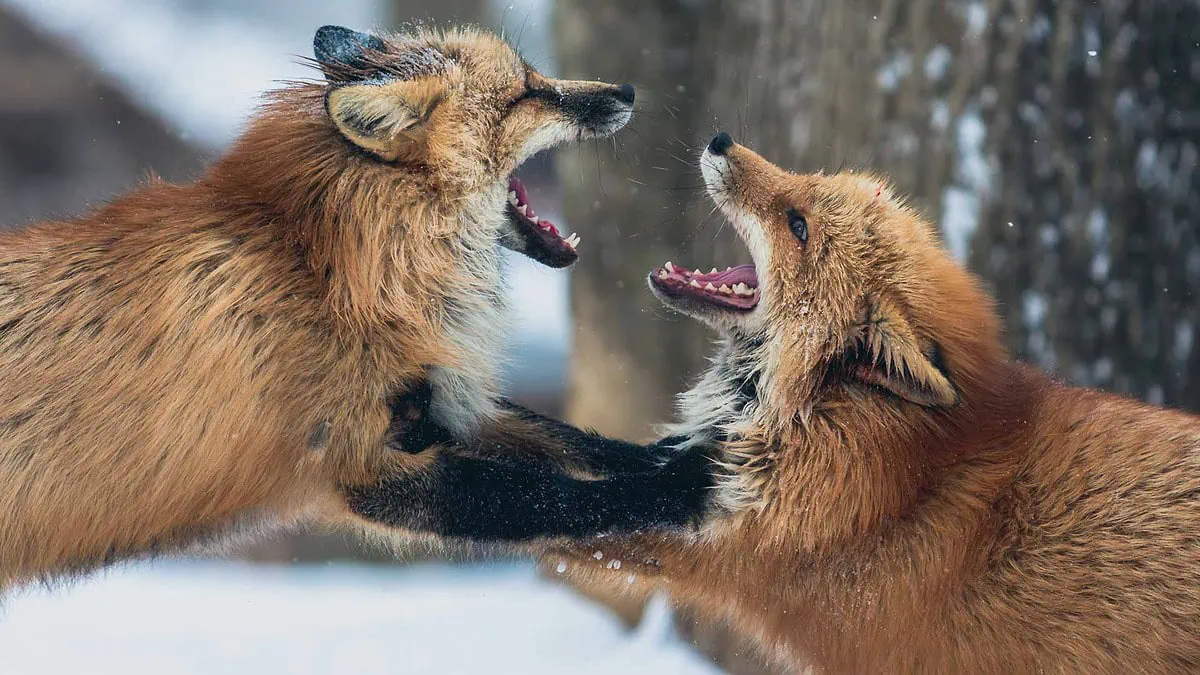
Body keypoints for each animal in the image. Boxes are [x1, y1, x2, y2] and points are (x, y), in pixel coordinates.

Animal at [0, 23, 643, 586]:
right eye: (525, 93)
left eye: (534, 77)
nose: (628, 92)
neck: (328, 272)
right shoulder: (364, 462)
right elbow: (560, 497)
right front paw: (663, 496)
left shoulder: (438, 406)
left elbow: (571, 441)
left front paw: (657, 457)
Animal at [386, 133, 1200, 667]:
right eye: (805, 186)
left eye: (798, 225)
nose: (720, 138)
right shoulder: (696, 470)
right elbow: (565, 443)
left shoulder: (718, 548)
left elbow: (536, 507)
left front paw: (417, 489)